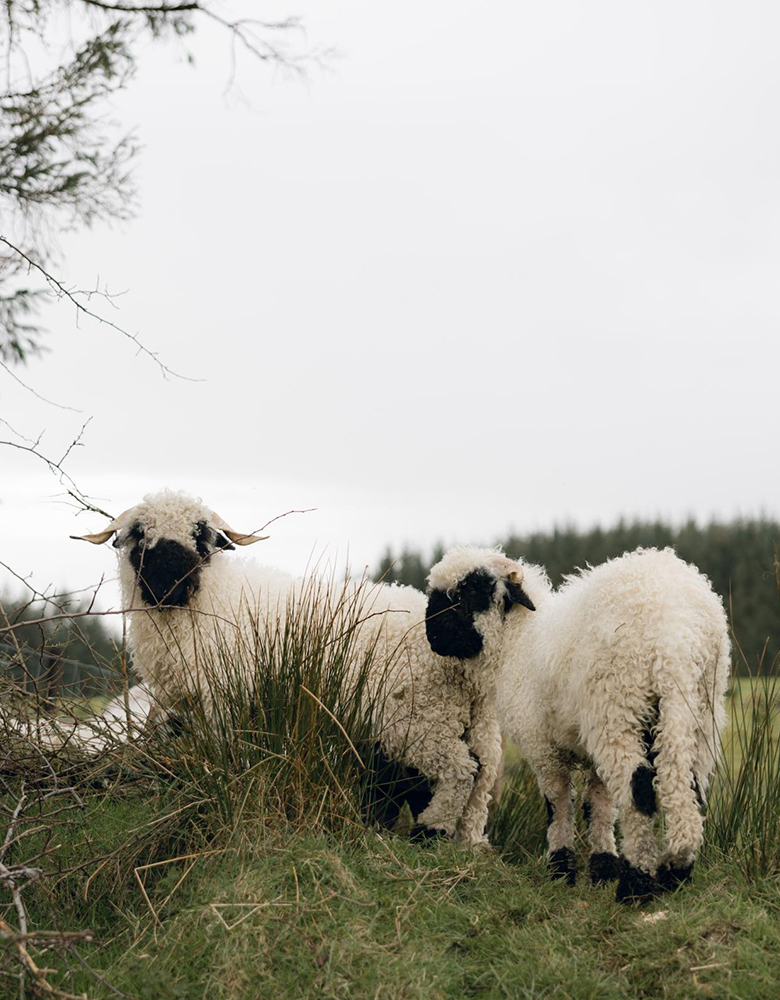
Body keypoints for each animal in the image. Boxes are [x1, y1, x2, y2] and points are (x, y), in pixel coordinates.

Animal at [71, 490, 507, 846]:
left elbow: (228, 756)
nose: (169, 577)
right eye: (139, 532)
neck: (211, 599)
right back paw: (465, 842)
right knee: (479, 778)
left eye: (201, 534)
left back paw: (431, 830)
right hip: (468, 722)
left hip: (420, 719)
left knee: (460, 771)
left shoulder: (225, 701)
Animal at [425, 545, 730, 903]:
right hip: (699, 708)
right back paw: (676, 872)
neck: (517, 643)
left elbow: (557, 802)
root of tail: (677, 630)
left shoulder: (540, 745)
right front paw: (603, 867)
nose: (432, 636)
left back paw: (636, 885)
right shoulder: (589, 751)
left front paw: (561, 867)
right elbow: (598, 805)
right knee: (690, 788)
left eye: (471, 590)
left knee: (638, 790)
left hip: (617, 709)